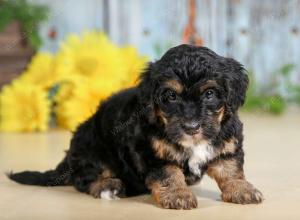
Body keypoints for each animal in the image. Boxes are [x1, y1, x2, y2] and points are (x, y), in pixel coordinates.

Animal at [8, 43, 262, 209]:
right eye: (171, 96)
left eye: (210, 94)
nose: (191, 127)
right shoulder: (152, 152)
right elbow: (168, 174)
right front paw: (177, 194)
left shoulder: (227, 141)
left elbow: (230, 168)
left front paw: (242, 189)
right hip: (94, 150)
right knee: (85, 179)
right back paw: (109, 187)